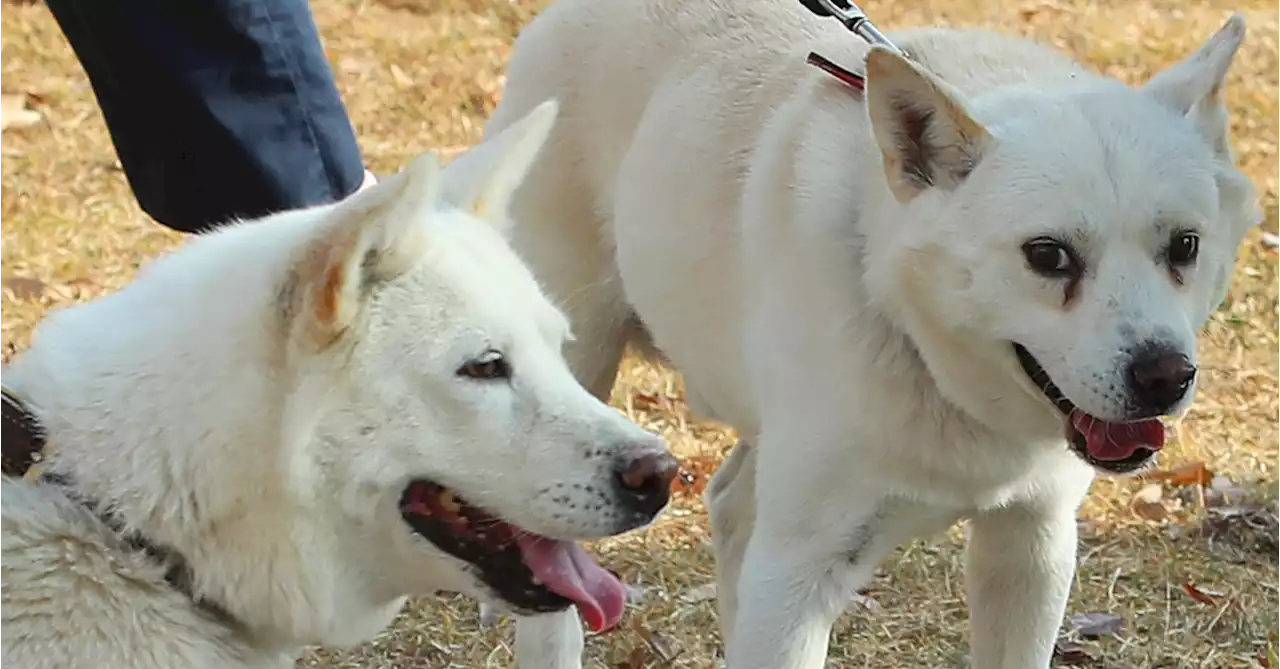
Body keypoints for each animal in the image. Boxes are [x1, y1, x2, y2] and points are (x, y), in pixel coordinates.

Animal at [483, 1, 1264, 669]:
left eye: (1185, 246)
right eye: (1048, 256)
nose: (1164, 376)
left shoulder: (1030, 547)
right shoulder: (797, 575)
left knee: (732, 505)